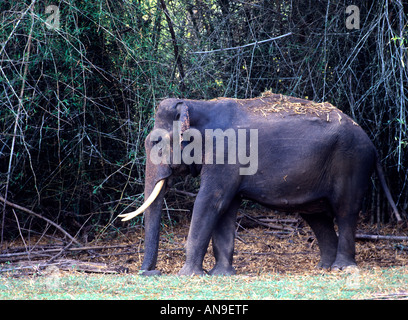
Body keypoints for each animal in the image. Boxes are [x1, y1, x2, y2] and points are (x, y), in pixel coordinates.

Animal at [118, 92, 402, 276]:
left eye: (156, 142)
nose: (149, 273)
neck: (197, 105)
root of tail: (372, 144)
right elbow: (226, 208)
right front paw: (221, 275)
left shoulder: (225, 154)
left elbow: (211, 201)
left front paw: (188, 275)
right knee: (318, 217)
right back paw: (323, 268)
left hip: (352, 162)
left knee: (345, 211)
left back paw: (342, 268)